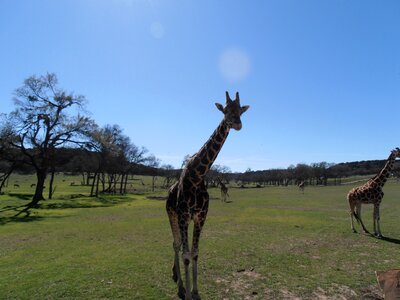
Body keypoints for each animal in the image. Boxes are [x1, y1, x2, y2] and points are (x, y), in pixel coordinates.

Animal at [166, 92, 248, 300]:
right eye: (225, 110)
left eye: (240, 110)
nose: (237, 124)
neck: (197, 176)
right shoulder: (184, 216)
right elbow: (186, 255)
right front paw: (188, 293)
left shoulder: (201, 217)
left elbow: (195, 252)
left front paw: (195, 290)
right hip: (172, 214)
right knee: (176, 244)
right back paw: (179, 284)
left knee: (180, 245)